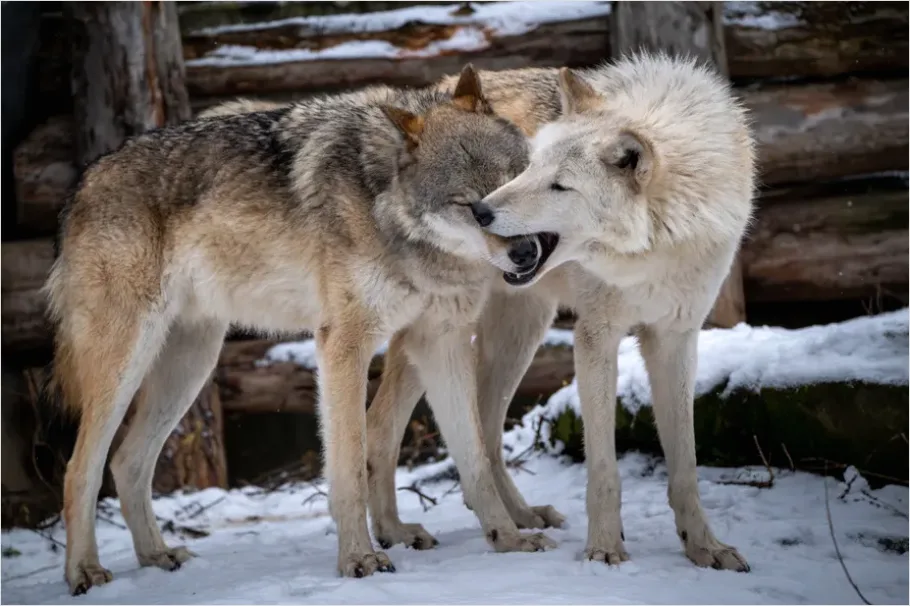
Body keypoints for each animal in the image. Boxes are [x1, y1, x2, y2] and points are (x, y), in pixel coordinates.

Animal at [45, 65, 556, 595]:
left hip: (191, 365)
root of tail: (83, 182)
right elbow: (349, 466)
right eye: (473, 207)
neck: (387, 210)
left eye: (514, 187)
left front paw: (508, 540)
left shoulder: (441, 341)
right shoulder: (344, 345)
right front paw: (359, 560)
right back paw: (83, 571)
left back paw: (157, 556)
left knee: (126, 463)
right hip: (127, 363)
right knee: (80, 470)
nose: (528, 252)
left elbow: (474, 458)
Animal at [365, 53, 756, 572]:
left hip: (520, 333)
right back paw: (396, 532)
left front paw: (704, 548)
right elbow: (604, 469)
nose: (482, 211)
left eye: (559, 186)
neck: (651, 247)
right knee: (381, 424)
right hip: (443, 336)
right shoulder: (596, 335)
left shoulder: (676, 338)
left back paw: (521, 517)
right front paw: (605, 549)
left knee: (484, 432)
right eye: (529, 167)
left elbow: (686, 467)